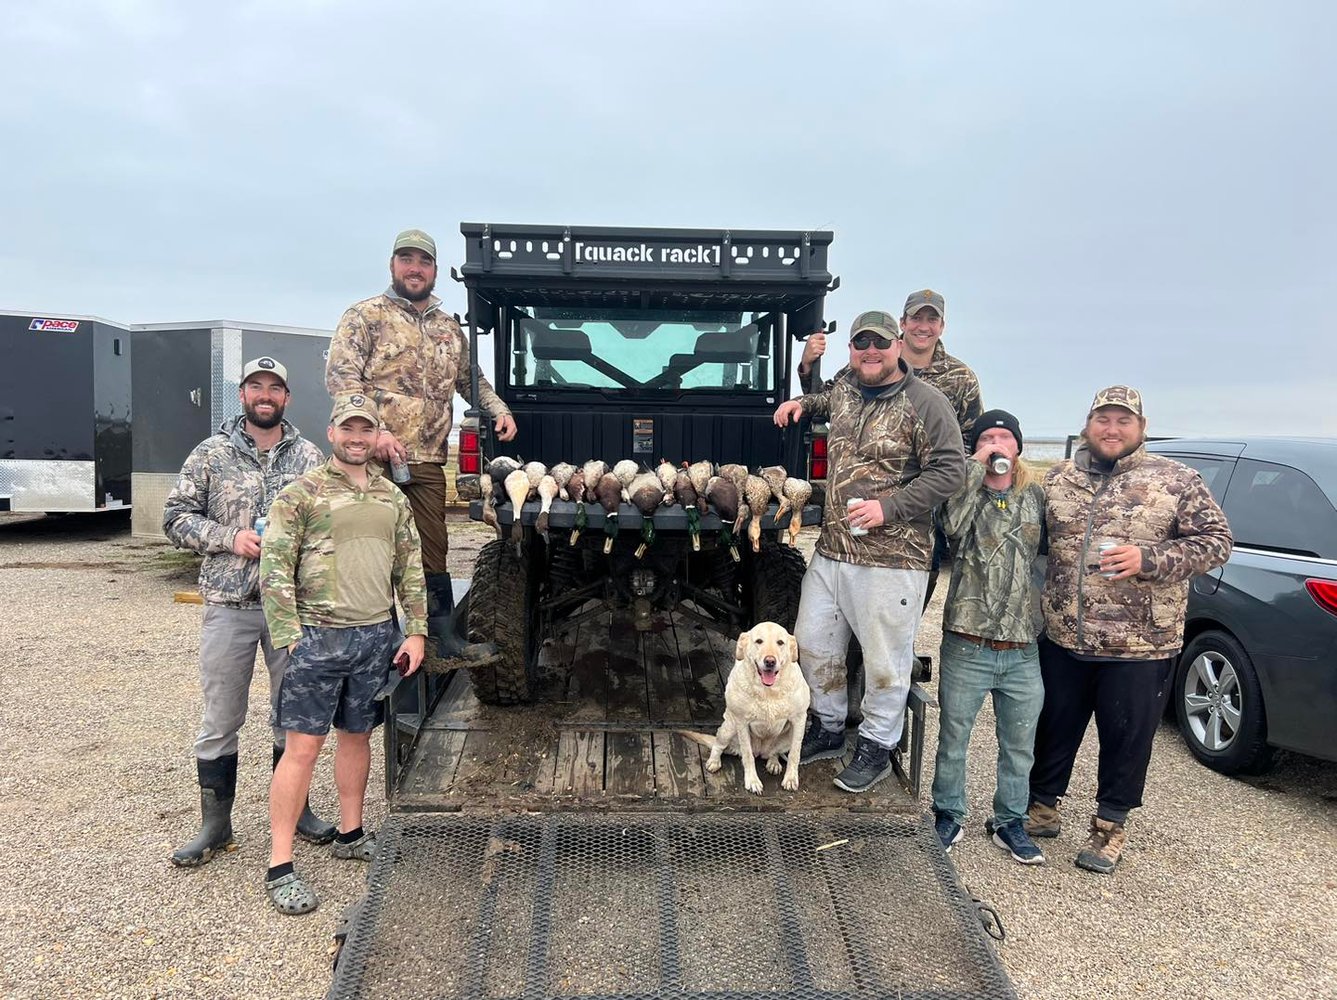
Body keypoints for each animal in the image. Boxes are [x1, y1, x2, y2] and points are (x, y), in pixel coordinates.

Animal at [673, 620, 807, 791]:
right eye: (759, 641)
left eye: (780, 642)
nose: (770, 661)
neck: (768, 692)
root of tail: (760, 751)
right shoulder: (742, 722)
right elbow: (748, 756)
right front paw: (752, 781)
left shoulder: (799, 720)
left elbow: (794, 754)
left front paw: (790, 778)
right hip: (729, 728)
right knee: (718, 745)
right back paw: (714, 761)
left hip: (786, 738)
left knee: (774, 752)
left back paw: (773, 761)